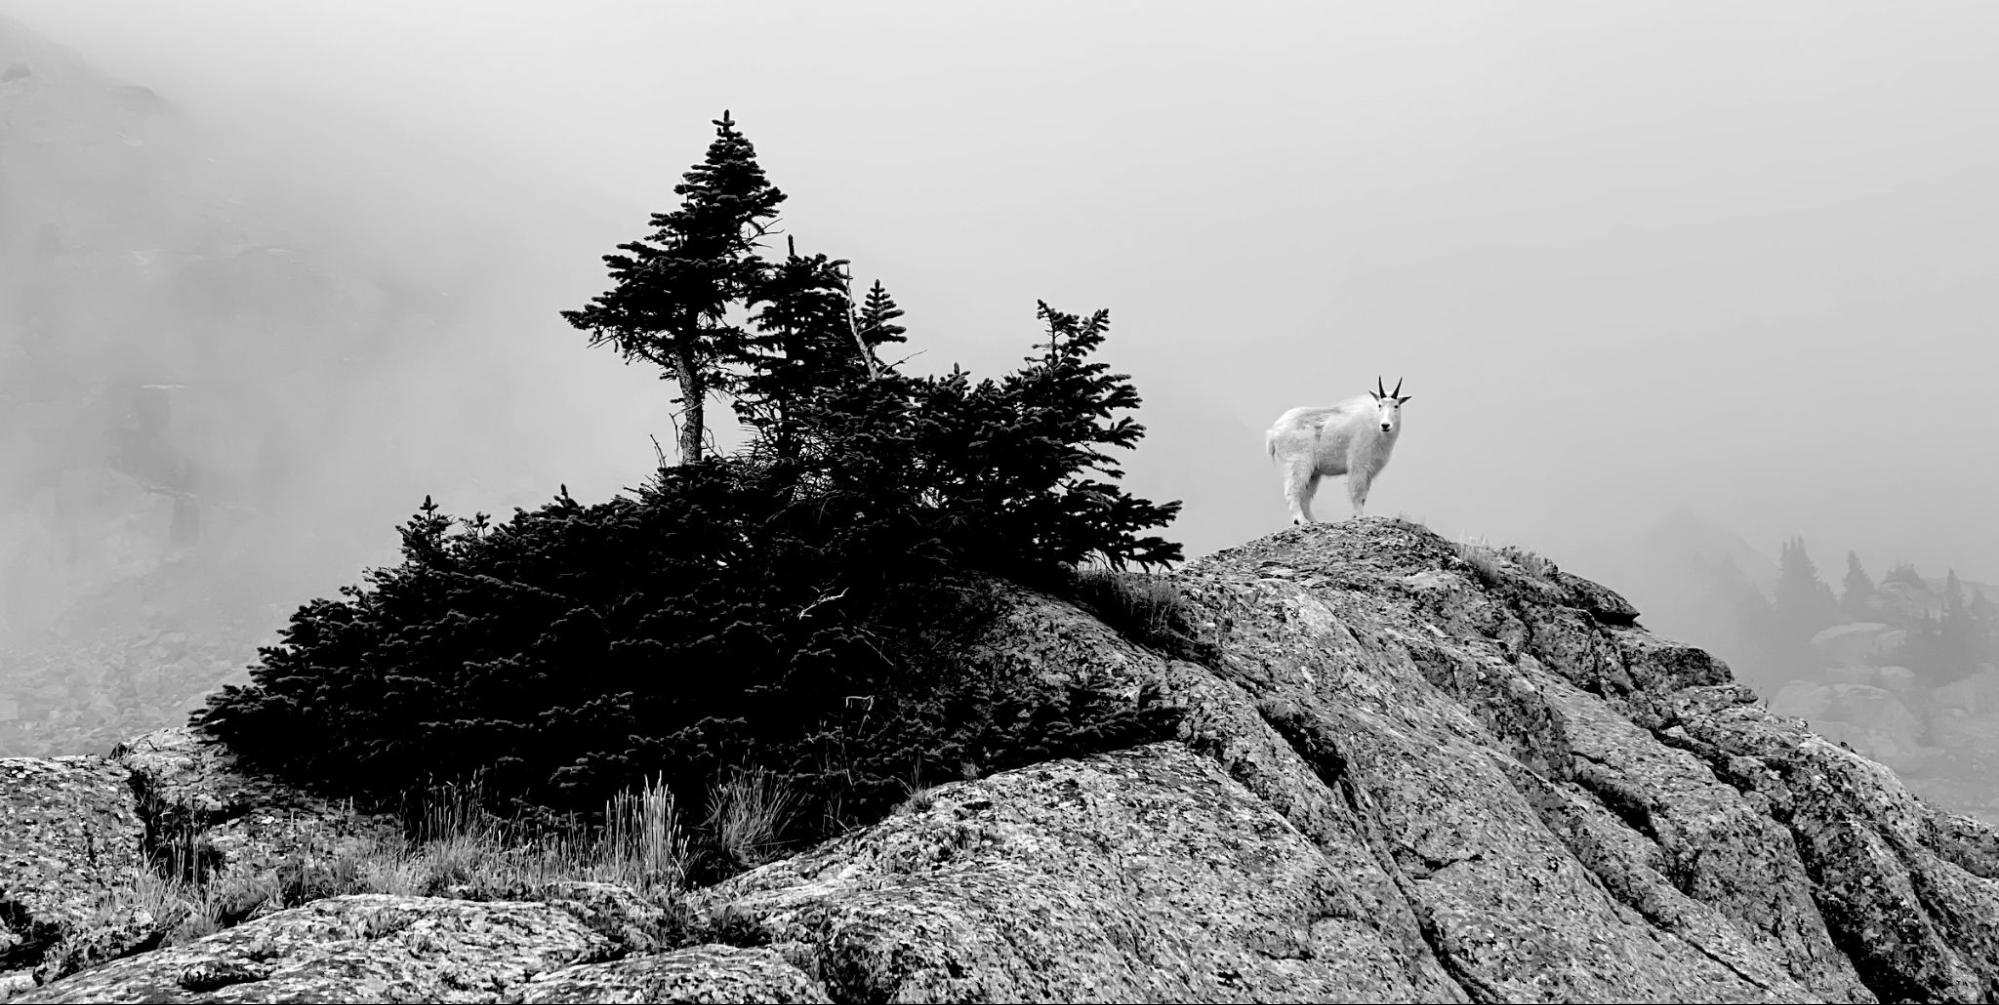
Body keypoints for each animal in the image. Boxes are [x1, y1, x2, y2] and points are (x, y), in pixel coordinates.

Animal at [1263, 377, 1407, 527]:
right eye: (1379, 405)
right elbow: (1357, 493)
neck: (1375, 426)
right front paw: (1358, 517)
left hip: (1314, 473)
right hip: (1298, 462)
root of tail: (1273, 433)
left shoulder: (1368, 470)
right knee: (1292, 491)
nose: (1385, 425)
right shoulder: (1358, 464)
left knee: (1305, 498)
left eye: (1396, 406)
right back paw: (1301, 521)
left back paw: (1314, 521)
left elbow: (1363, 496)